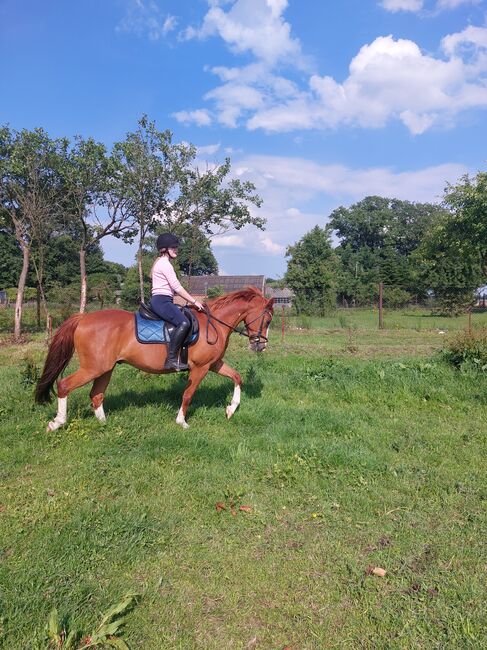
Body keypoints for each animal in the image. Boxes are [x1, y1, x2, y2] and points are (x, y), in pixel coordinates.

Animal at [35, 288, 274, 430]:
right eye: (268, 320)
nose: (260, 345)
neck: (214, 323)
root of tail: (83, 318)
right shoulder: (201, 368)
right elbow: (188, 395)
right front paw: (182, 422)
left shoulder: (213, 364)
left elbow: (237, 377)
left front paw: (231, 409)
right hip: (93, 368)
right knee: (65, 385)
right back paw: (57, 423)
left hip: (106, 368)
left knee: (96, 395)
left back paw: (105, 424)